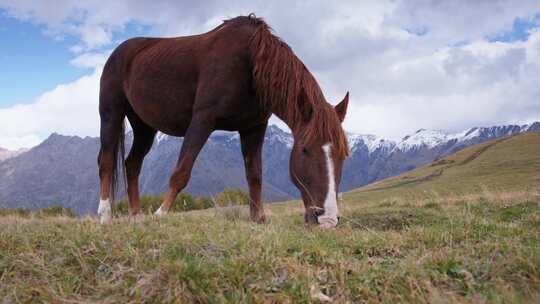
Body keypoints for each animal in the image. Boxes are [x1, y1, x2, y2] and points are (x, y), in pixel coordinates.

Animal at [97, 14, 350, 228]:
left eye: (342, 155)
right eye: (305, 150)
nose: (327, 219)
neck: (250, 63)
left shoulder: (253, 127)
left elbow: (254, 175)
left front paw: (257, 218)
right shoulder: (202, 120)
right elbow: (181, 172)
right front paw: (161, 214)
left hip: (144, 127)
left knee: (132, 164)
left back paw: (137, 216)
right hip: (111, 113)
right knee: (107, 161)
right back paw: (105, 216)